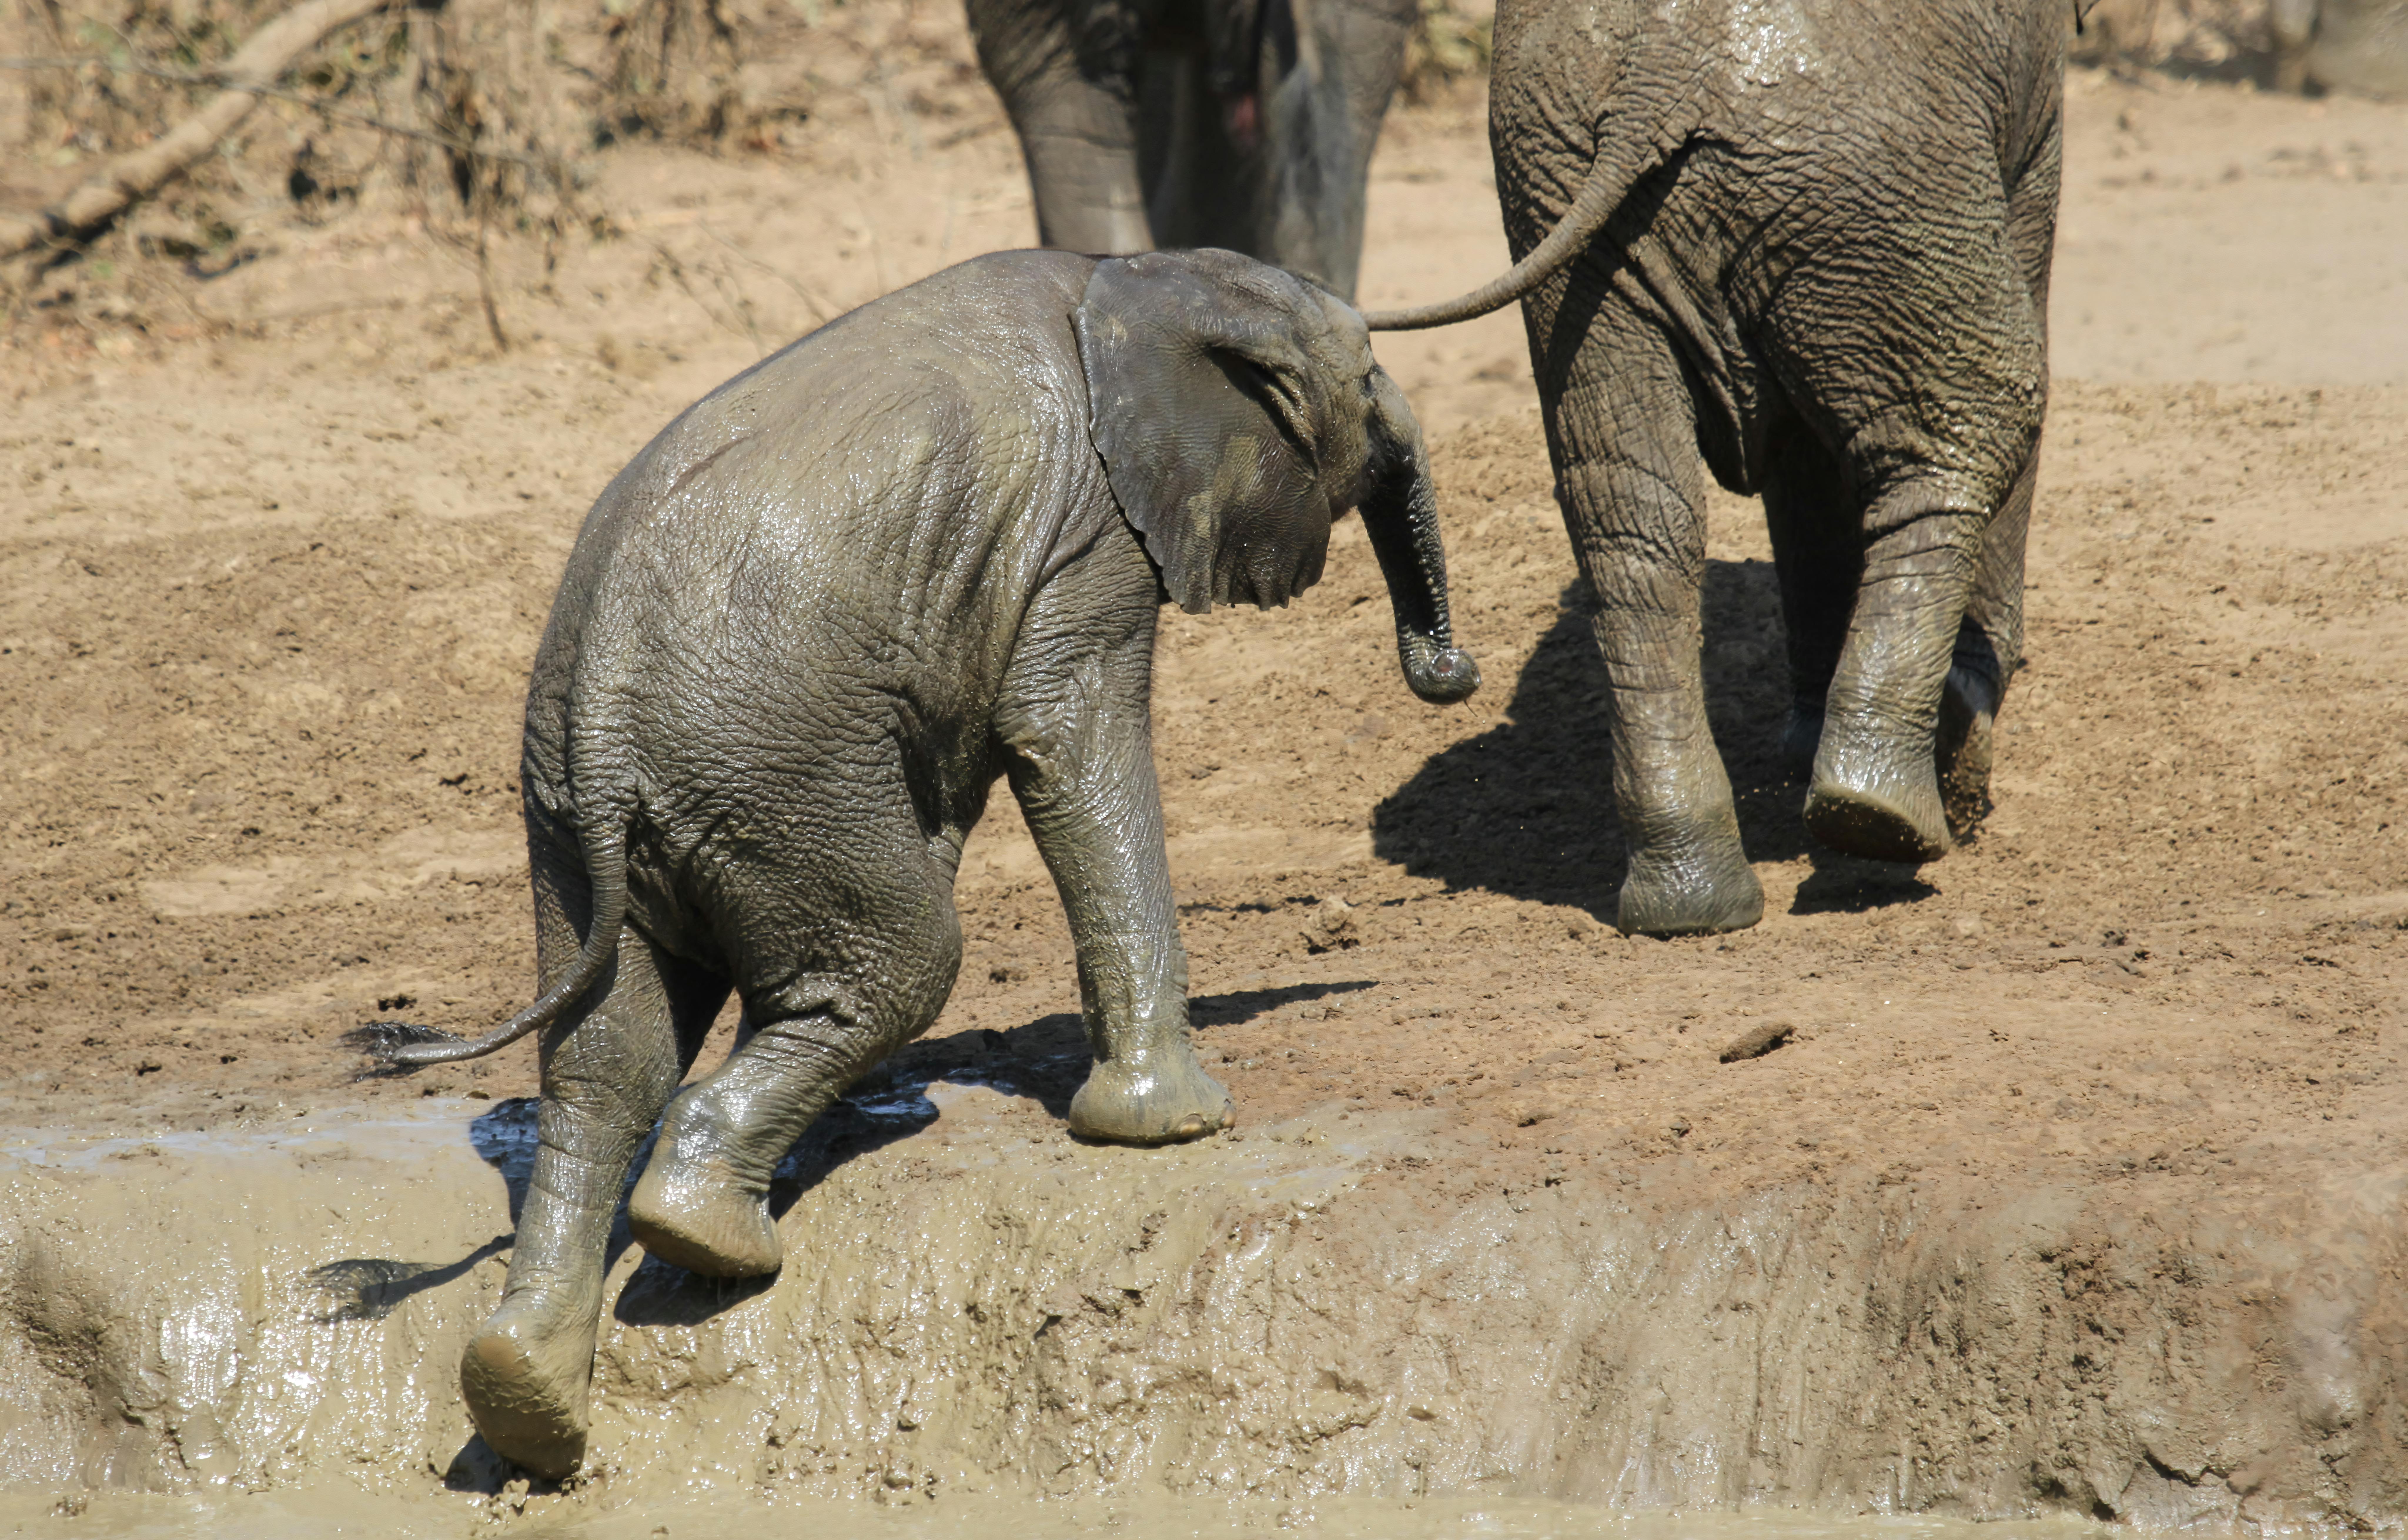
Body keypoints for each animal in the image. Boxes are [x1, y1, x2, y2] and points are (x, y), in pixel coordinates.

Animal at [350, 246, 1477, 1478]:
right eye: (1365, 377)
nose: (1450, 675)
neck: (1134, 279)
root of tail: (598, 711)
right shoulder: (1089, 532)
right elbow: (1070, 726)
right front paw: (1175, 1126)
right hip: (773, 775)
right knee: (902, 962)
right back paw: (710, 1234)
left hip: (575, 818)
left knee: (608, 1058)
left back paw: (528, 1388)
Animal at [1362, 0, 2066, 936]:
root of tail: (1655, 79)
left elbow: (1802, 473)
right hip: (1874, 184)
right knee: (1982, 413)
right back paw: (1890, 814)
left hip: (1574, 200)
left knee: (1631, 514)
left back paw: (1692, 904)